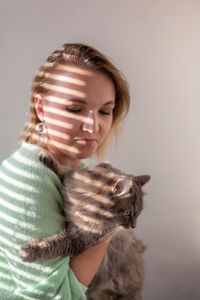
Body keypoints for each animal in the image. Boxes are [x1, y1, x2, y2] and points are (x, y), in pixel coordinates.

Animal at [19, 151, 150, 300]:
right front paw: (46, 158)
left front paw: (29, 251)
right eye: (128, 213)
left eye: (138, 213)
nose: (133, 226)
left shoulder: (80, 240)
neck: (84, 203)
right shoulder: (71, 182)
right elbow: (63, 173)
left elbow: (54, 245)